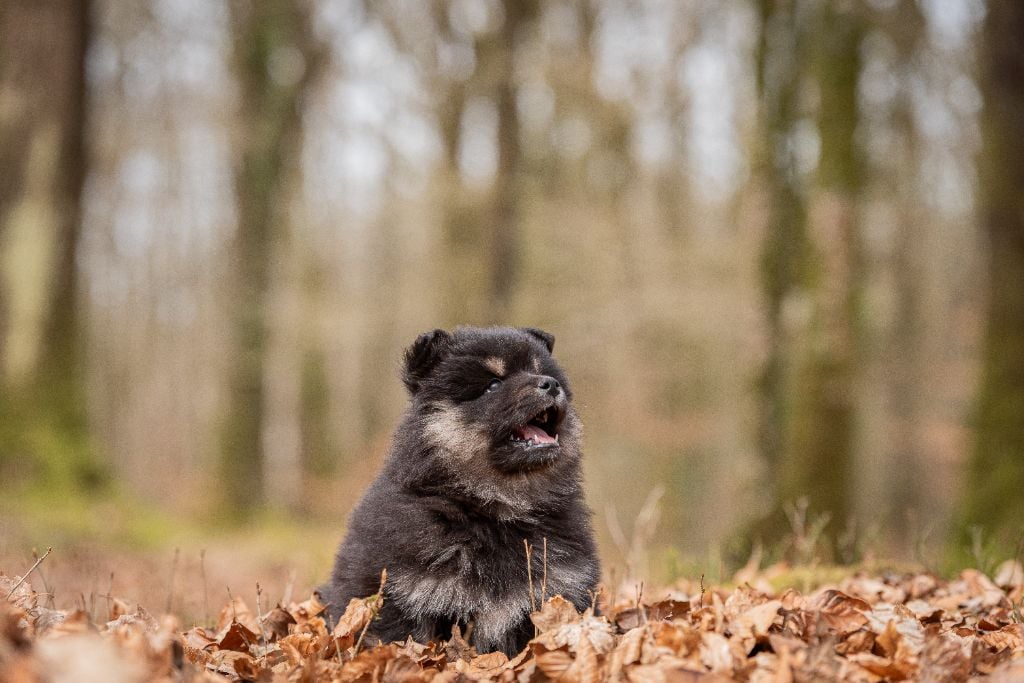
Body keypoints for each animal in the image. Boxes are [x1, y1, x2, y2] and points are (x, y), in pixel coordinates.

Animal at [319, 326, 600, 656]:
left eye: (539, 371)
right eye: (493, 385)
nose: (551, 383)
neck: (496, 508)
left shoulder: (559, 588)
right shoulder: (403, 594)